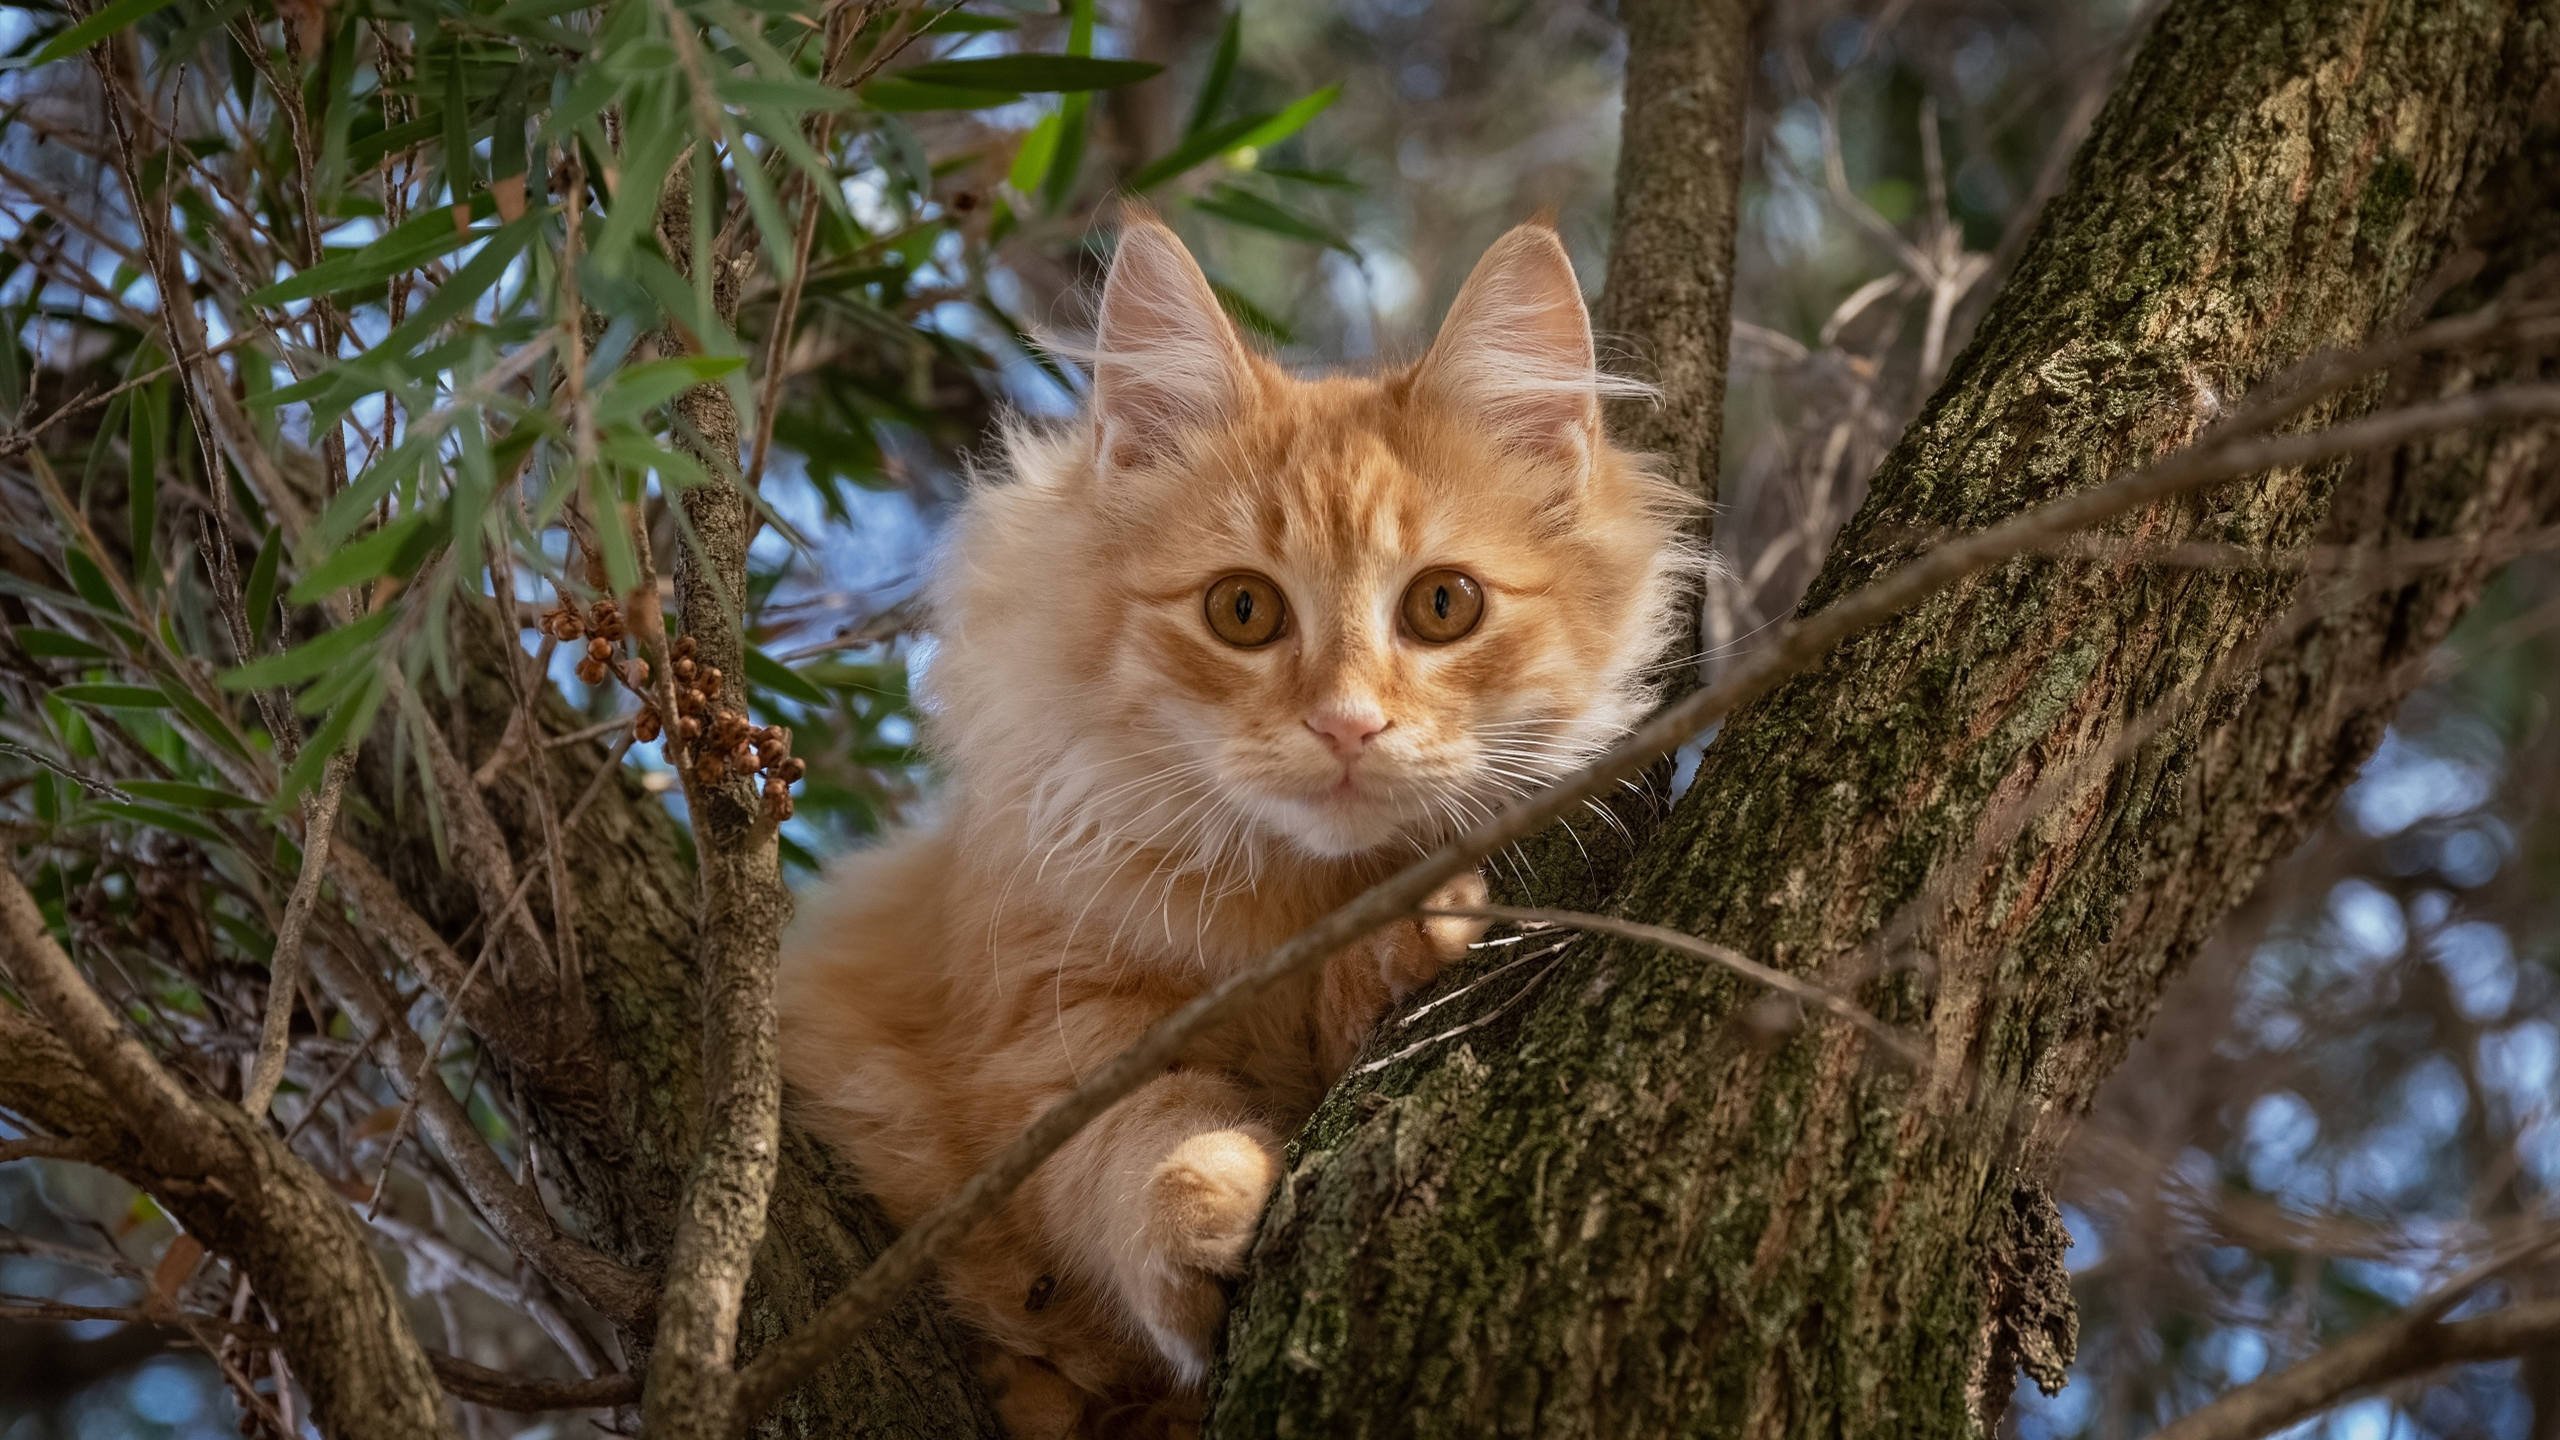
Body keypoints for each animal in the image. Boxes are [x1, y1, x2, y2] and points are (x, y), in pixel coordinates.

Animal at [778, 210, 1699, 1424]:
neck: (1301, 905)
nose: (1347, 725)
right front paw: (1203, 1205)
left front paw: (1403, 937)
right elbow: (1137, 1141)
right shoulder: (1040, 1044)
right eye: (1244, 611)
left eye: (1442, 605)